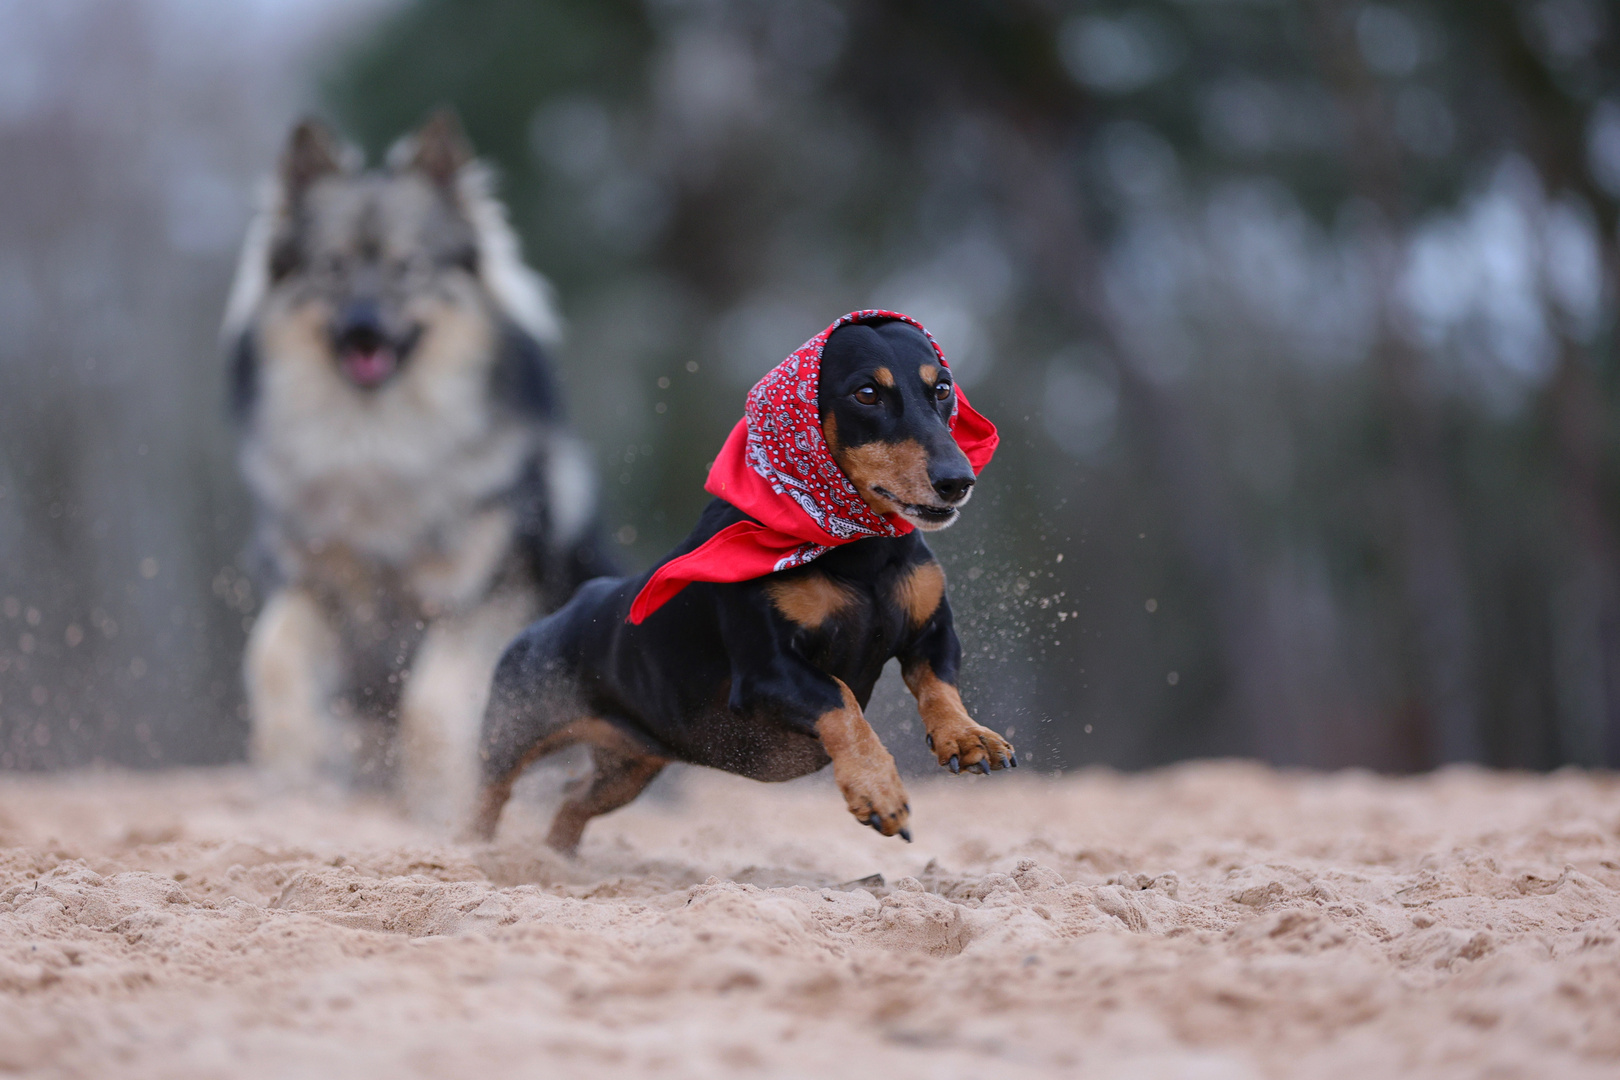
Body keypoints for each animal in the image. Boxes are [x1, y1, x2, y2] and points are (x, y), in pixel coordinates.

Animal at [225, 111, 609, 829]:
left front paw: (439, 805)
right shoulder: (312, 584)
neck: (380, 444)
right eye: (332, 267)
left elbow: (430, 700)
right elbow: (272, 657)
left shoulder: (477, 596)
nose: (363, 330)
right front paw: (293, 759)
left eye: (409, 268)